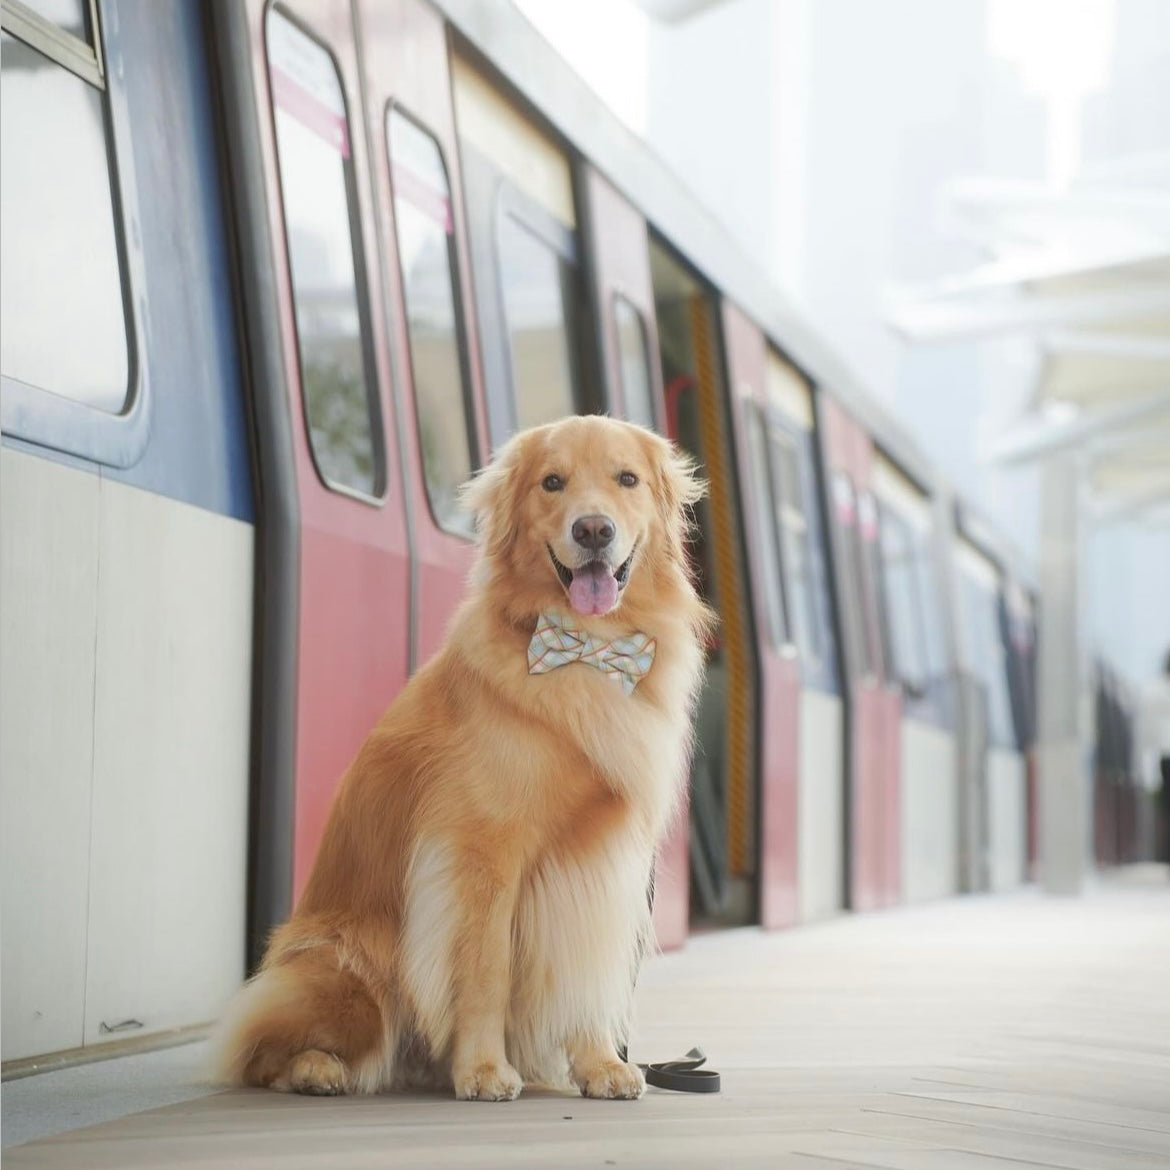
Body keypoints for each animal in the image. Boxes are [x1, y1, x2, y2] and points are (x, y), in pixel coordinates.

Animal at [210, 416, 711, 1099]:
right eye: (552, 483)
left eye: (626, 479)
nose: (593, 530)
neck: (586, 651)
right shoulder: (480, 853)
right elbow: (485, 970)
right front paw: (482, 1069)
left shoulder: (598, 858)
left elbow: (586, 965)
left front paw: (600, 1064)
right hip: (346, 967)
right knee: (260, 1049)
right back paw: (317, 1068)